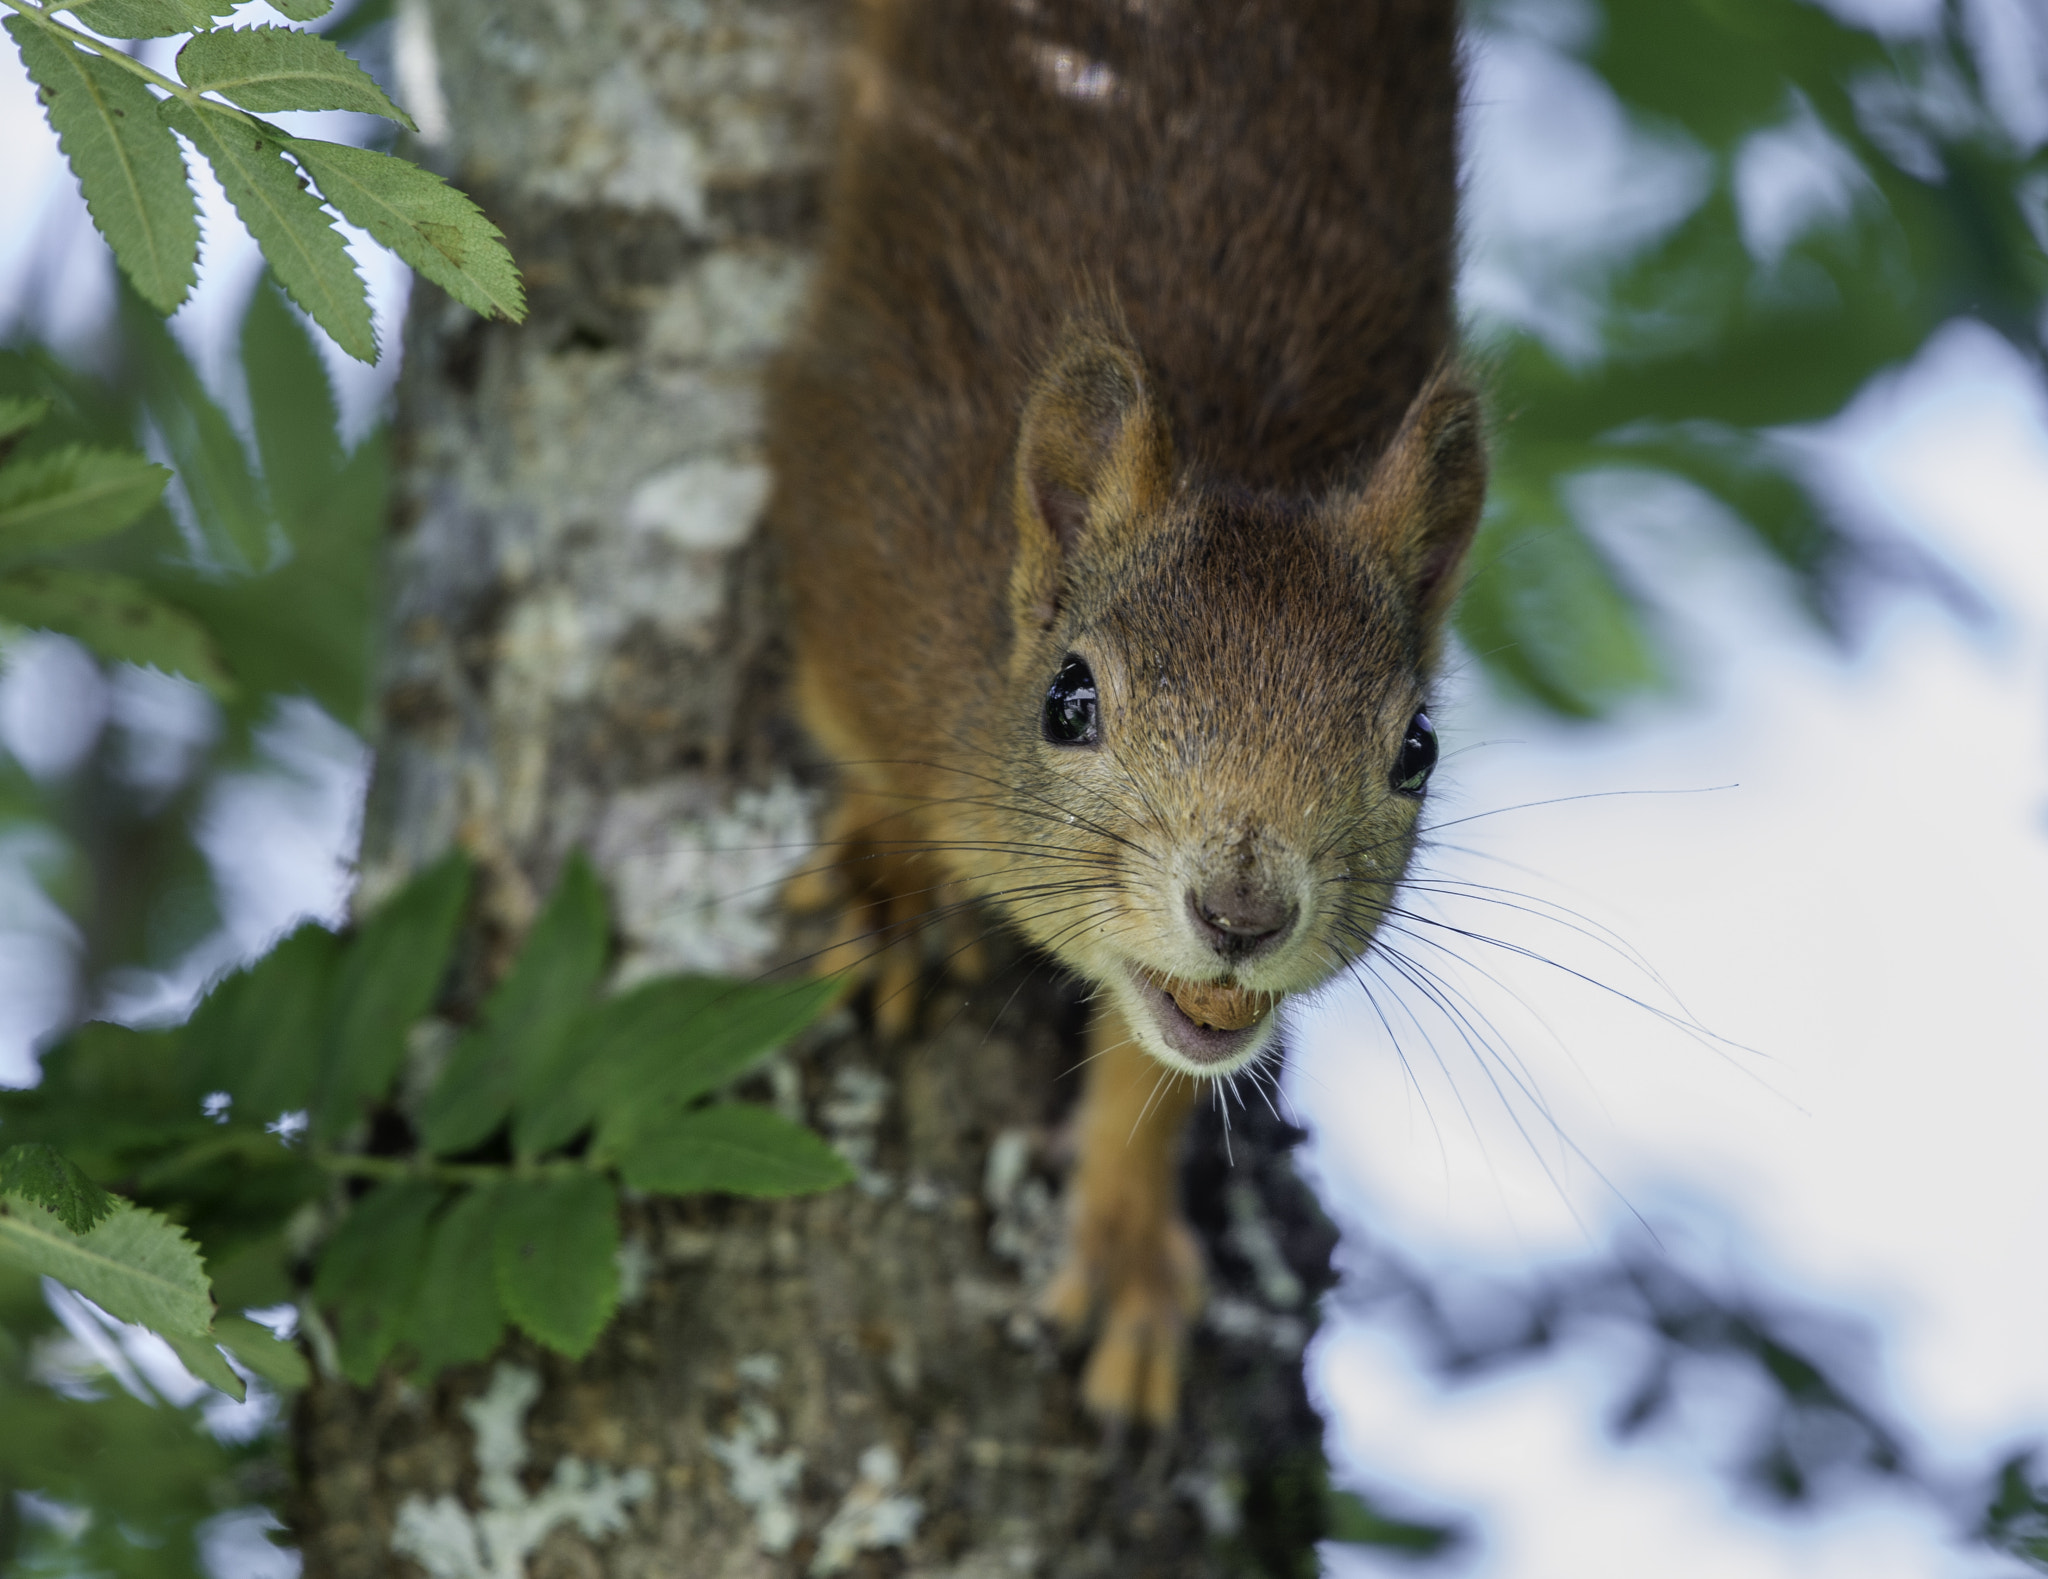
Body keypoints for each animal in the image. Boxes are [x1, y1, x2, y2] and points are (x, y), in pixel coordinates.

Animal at [766, 0, 1483, 1425]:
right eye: (1069, 701)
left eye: (1416, 749)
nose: (1242, 915)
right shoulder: (852, 549)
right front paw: (882, 875)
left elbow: (1168, 1051)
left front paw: (1125, 1232)